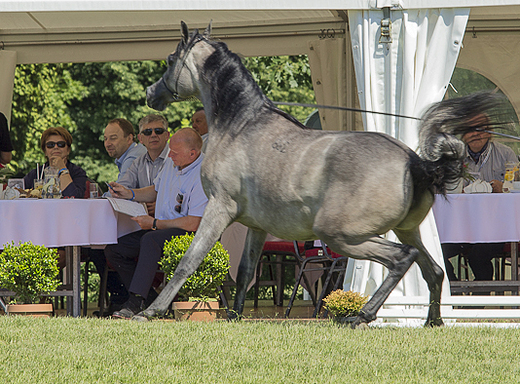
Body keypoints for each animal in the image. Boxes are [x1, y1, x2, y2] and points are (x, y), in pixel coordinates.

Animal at [144, 21, 502, 328]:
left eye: (171, 59)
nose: (151, 93)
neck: (241, 126)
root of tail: (415, 162)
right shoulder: (257, 225)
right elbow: (246, 271)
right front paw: (235, 316)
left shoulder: (220, 207)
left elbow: (188, 261)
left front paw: (150, 311)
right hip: (405, 230)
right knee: (434, 271)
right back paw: (432, 321)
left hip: (340, 235)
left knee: (402, 260)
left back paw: (361, 315)